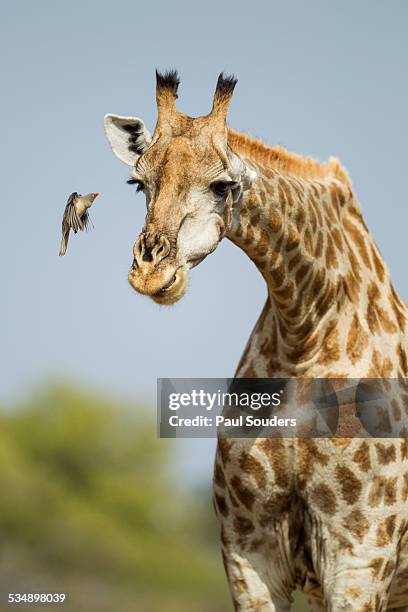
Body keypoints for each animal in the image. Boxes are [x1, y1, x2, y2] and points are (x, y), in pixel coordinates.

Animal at [104, 70, 408, 608]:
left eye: (223, 185)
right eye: (138, 182)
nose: (151, 275)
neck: (304, 332)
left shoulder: (362, 552)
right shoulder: (248, 548)